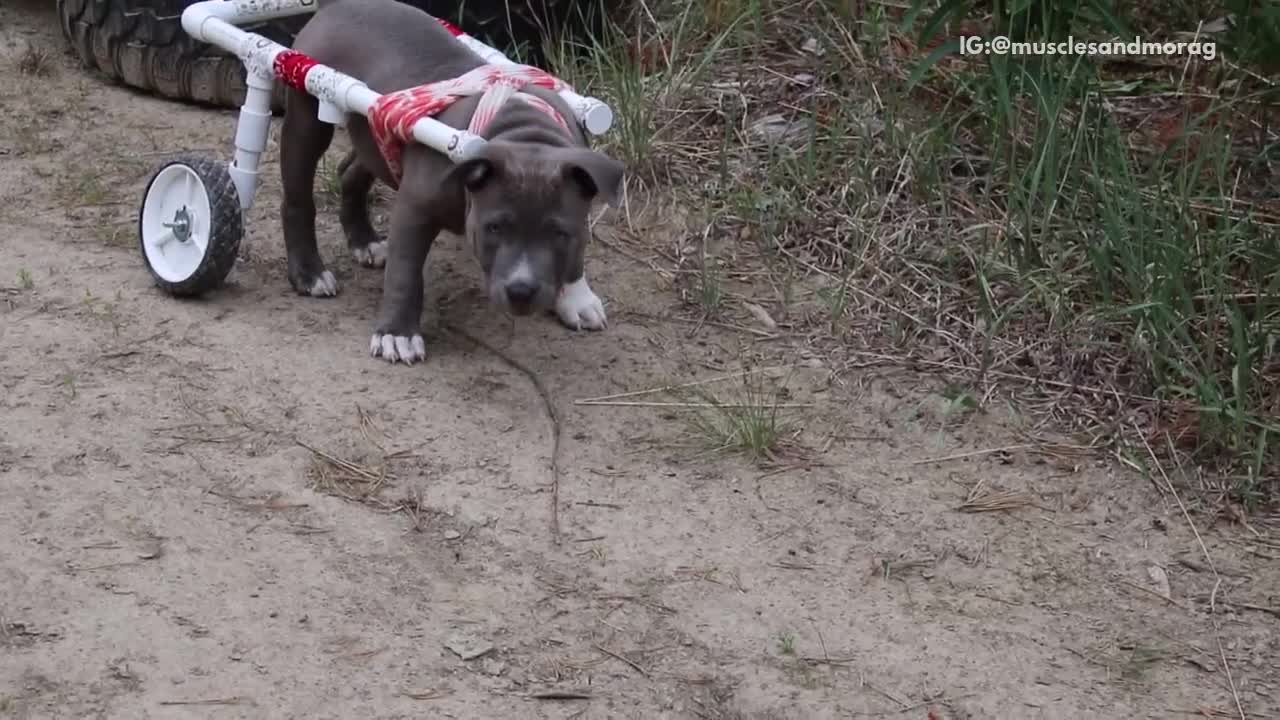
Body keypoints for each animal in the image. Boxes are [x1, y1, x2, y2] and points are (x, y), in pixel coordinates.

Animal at [280, 0, 624, 361]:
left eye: (560, 234)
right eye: (493, 228)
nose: (521, 290)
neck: (525, 132)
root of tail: (339, 5)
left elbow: (576, 258)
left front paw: (577, 298)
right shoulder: (415, 210)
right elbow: (404, 273)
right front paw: (397, 334)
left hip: (373, 136)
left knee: (350, 172)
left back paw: (365, 241)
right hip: (308, 117)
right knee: (297, 199)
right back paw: (309, 273)